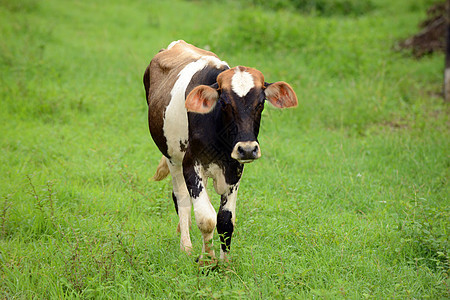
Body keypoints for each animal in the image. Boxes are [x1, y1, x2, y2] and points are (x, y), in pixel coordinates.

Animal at [144, 40, 298, 262]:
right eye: (224, 103)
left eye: (260, 103)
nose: (248, 149)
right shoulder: (191, 164)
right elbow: (206, 218)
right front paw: (207, 259)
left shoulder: (235, 169)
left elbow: (225, 220)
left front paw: (225, 263)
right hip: (173, 158)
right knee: (182, 200)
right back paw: (186, 247)